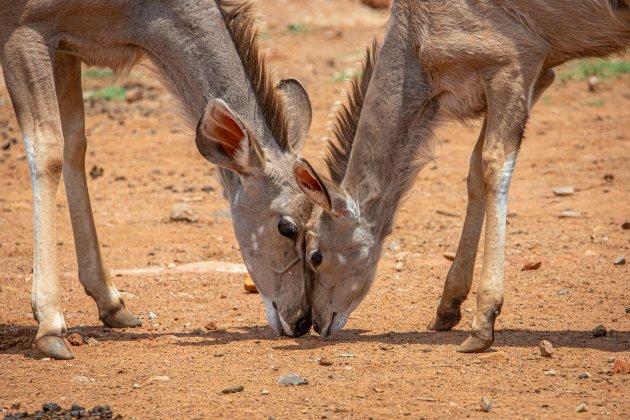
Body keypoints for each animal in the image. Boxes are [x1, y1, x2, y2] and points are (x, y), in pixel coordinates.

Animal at [0, 0, 316, 360]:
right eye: (286, 227)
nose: (302, 321)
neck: (142, 14)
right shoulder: (24, 31)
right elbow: (48, 150)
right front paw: (50, 326)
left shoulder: (65, 45)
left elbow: (75, 143)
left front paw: (112, 305)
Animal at [296, 0, 630, 352]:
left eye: (315, 255)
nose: (316, 322)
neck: (415, 40)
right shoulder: (538, 75)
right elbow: (473, 171)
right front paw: (446, 308)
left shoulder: (512, 65)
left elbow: (493, 163)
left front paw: (482, 325)